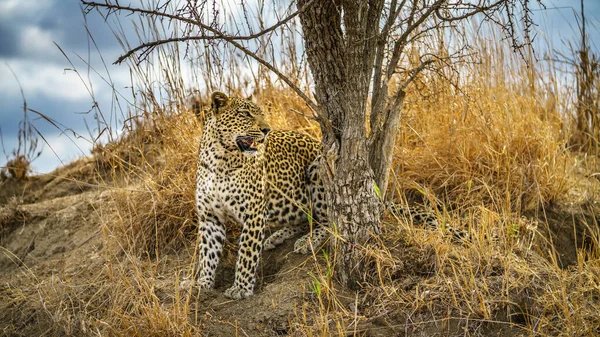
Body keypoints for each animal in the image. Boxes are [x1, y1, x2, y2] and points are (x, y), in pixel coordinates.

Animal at [193, 90, 328, 298]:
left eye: (262, 114)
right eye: (246, 114)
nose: (267, 129)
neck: (219, 160)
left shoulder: (254, 213)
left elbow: (246, 253)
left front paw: (241, 288)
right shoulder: (210, 217)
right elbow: (208, 253)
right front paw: (203, 283)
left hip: (318, 170)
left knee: (331, 221)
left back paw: (307, 241)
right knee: (304, 220)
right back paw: (276, 237)